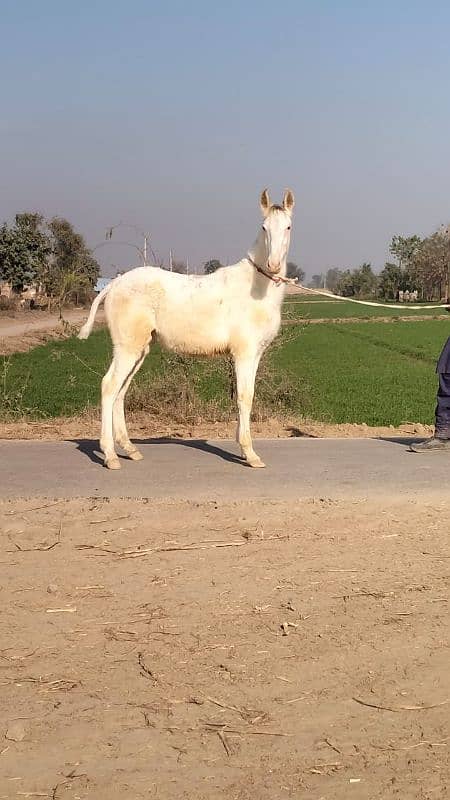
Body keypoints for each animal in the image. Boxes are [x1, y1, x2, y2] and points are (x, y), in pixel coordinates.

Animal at [78, 189, 296, 468]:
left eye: (288, 226)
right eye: (264, 226)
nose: (273, 264)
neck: (256, 288)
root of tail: (114, 285)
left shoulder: (255, 354)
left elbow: (246, 395)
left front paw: (242, 448)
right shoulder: (244, 354)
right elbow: (245, 397)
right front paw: (251, 454)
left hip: (139, 350)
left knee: (121, 391)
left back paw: (130, 449)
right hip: (127, 348)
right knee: (109, 387)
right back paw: (110, 456)